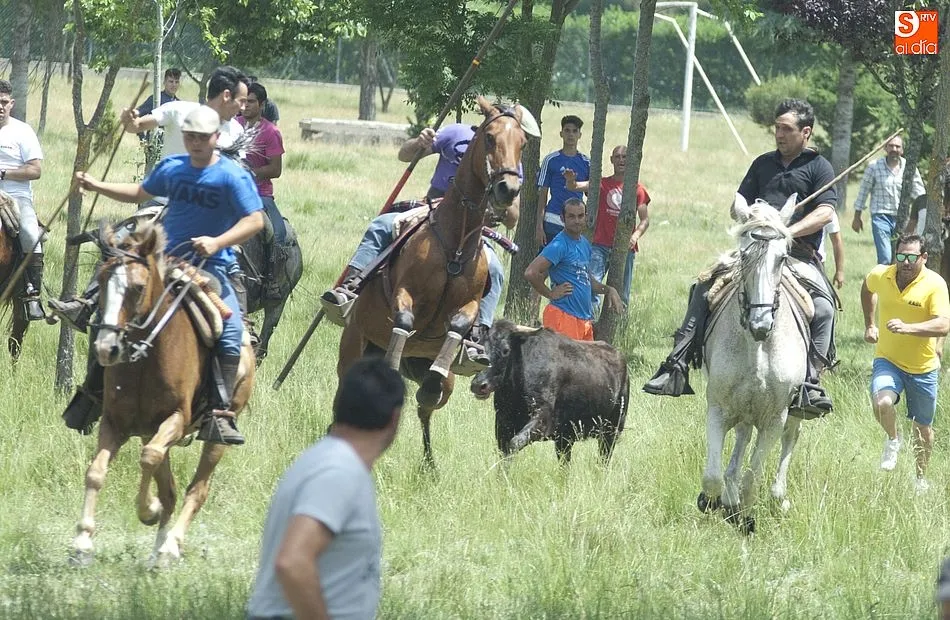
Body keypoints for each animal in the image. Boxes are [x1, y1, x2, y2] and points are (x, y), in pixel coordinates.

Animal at [71, 223, 256, 567]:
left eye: (138, 287)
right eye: (101, 282)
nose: (106, 348)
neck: (146, 358)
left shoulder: (176, 420)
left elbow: (149, 459)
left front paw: (149, 510)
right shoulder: (115, 422)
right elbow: (96, 472)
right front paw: (82, 542)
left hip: (216, 436)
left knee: (197, 489)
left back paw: (170, 545)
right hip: (148, 430)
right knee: (169, 486)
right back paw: (158, 550)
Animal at [338, 96, 538, 466]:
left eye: (523, 143)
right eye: (490, 137)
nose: (508, 188)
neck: (455, 244)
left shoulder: (468, 306)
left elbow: (458, 326)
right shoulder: (404, 293)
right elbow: (404, 319)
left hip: (442, 380)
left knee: (427, 407)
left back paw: (429, 462)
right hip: (353, 344)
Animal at [469, 319, 629, 463]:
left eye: (505, 350)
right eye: (479, 346)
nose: (478, 385)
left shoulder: (542, 419)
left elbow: (514, 443)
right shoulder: (503, 424)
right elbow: (504, 453)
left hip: (611, 431)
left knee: (603, 460)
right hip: (565, 439)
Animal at [697, 193, 808, 534]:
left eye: (782, 258)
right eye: (744, 256)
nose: (761, 324)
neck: (757, 346)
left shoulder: (775, 418)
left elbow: (753, 477)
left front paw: (747, 519)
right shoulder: (717, 408)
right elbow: (712, 476)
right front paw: (713, 502)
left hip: (793, 411)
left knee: (790, 439)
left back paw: (778, 497)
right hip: (743, 408)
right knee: (743, 438)